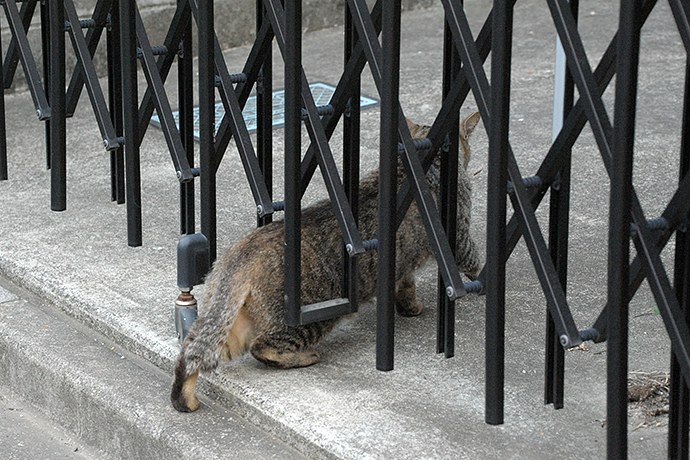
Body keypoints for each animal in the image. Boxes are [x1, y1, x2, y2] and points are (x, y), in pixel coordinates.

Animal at [170, 112, 482, 414]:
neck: (423, 163)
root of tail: (239, 256)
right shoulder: (458, 238)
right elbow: (475, 261)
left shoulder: (401, 262)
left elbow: (405, 285)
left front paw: (410, 306)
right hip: (312, 315)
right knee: (262, 347)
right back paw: (305, 356)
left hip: (233, 328)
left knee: (192, 353)